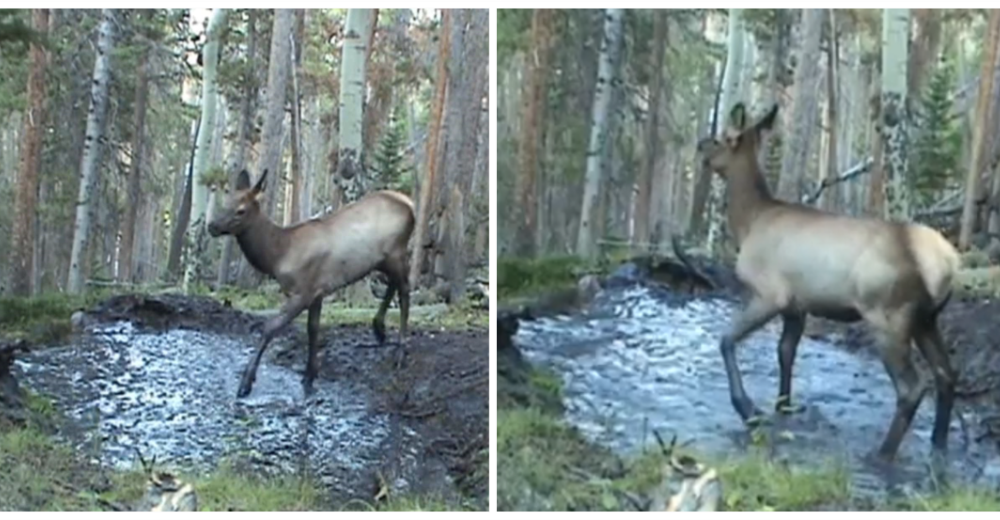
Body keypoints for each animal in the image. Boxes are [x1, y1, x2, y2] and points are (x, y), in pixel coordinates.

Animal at [209, 169, 416, 396]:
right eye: (226, 200)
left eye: (241, 210)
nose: (212, 226)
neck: (278, 256)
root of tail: (411, 205)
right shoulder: (317, 292)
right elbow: (312, 329)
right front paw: (309, 375)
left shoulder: (303, 291)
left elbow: (270, 327)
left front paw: (246, 382)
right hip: (383, 260)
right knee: (394, 284)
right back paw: (379, 328)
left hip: (397, 252)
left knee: (405, 291)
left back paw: (400, 351)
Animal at [696, 102, 960, 464]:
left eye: (721, 138)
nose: (699, 146)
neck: (748, 221)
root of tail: (948, 263)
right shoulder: (797, 307)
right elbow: (785, 352)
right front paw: (784, 405)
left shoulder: (771, 293)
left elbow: (726, 340)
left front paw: (749, 409)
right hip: (927, 319)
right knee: (946, 375)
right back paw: (939, 445)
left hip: (888, 316)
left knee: (912, 387)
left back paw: (881, 454)